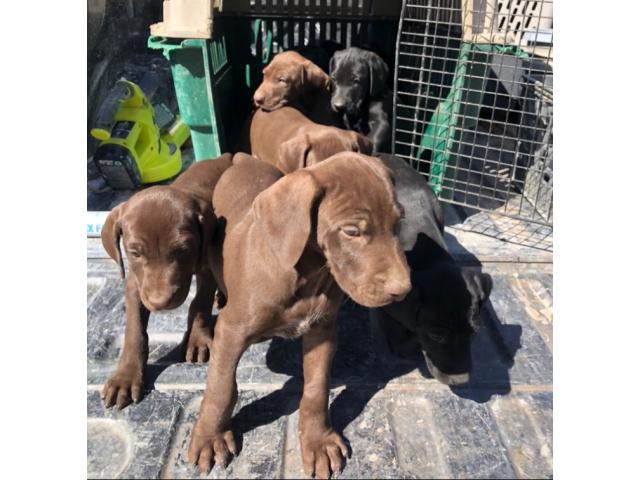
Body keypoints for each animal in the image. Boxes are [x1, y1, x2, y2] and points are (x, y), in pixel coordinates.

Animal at [99, 154, 231, 408]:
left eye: (183, 250)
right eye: (135, 253)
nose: (161, 302)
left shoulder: (206, 267)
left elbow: (199, 303)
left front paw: (196, 339)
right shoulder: (136, 285)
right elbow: (134, 330)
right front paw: (126, 376)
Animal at [189, 153, 410, 476]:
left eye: (398, 222)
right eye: (352, 232)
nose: (403, 289)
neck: (305, 275)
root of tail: (242, 158)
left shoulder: (322, 330)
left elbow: (316, 389)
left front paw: (317, 440)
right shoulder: (231, 330)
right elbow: (220, 386)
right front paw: (210, 436)